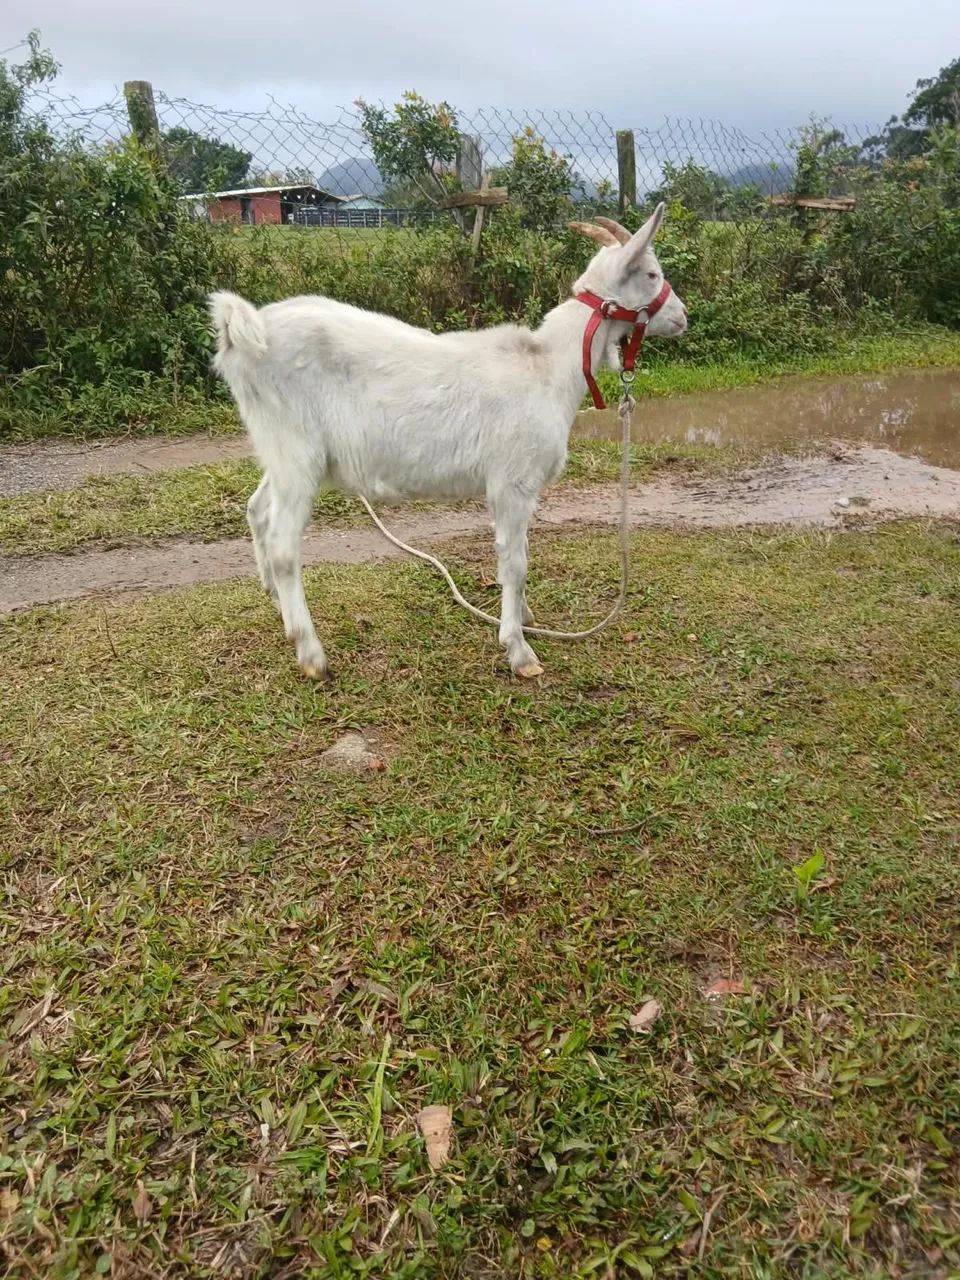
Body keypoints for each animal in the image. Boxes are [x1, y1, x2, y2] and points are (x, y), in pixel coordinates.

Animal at [209, 204, 687, 681]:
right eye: (651, 274)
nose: (683, 316)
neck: (548, 366)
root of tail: (242, 330)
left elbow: (515, 556)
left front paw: (524, 617)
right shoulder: (512, 482)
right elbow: (515, 562)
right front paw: (519, 650)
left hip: (283, 451)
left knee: (257, 510)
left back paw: (277, 603)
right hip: (295, 448)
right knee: (284, 547)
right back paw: (311, 654)